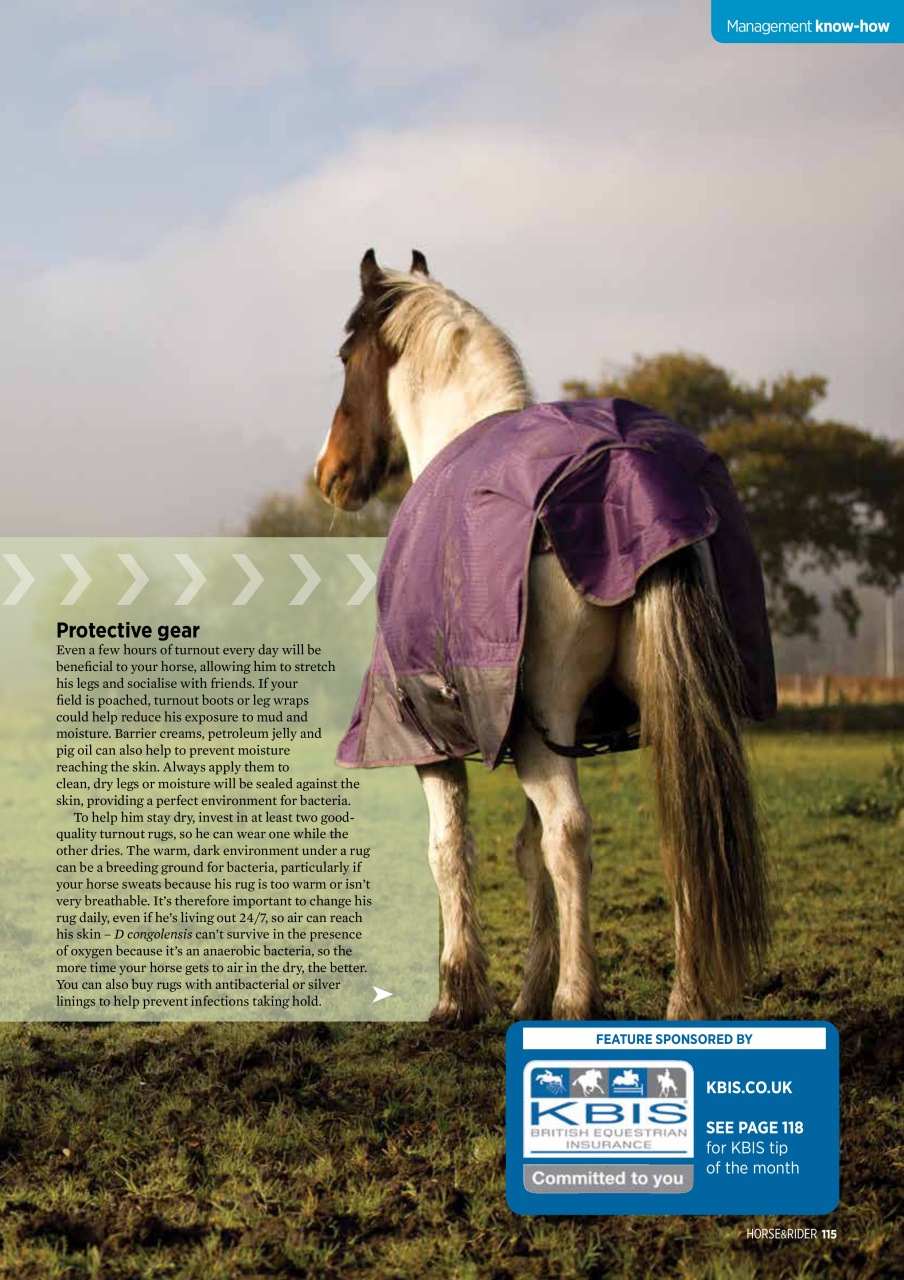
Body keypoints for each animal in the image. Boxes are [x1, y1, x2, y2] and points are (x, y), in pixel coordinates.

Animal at [315, 248, 770, 1028]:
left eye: (347, 356)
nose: (330, 473)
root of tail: (630, 471)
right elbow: (525, 853)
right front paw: (526, 988)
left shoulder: (434, 738)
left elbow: (452, 849)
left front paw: (459, 993)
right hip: (660, 715)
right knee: (685, 829)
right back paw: (684, 1003)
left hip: (543, 722)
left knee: (570, 835)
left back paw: (577, 999)